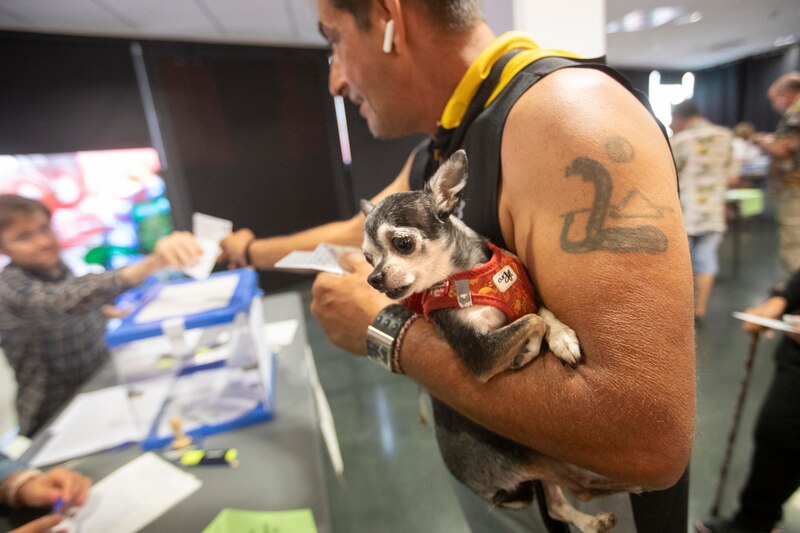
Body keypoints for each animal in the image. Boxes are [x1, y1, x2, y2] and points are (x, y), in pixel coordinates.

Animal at [360, 150, 636, 532]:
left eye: (403, 243)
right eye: (367, 258)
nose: (373, 278)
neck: (470, 275)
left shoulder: (526, 298)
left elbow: (540, 312)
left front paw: (563, 338)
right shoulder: (479, 353)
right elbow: (532, 320)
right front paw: (530, 350)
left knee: (556, 505)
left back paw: (592, 520)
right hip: (530, 451)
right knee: (579, 485)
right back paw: (627, 485)